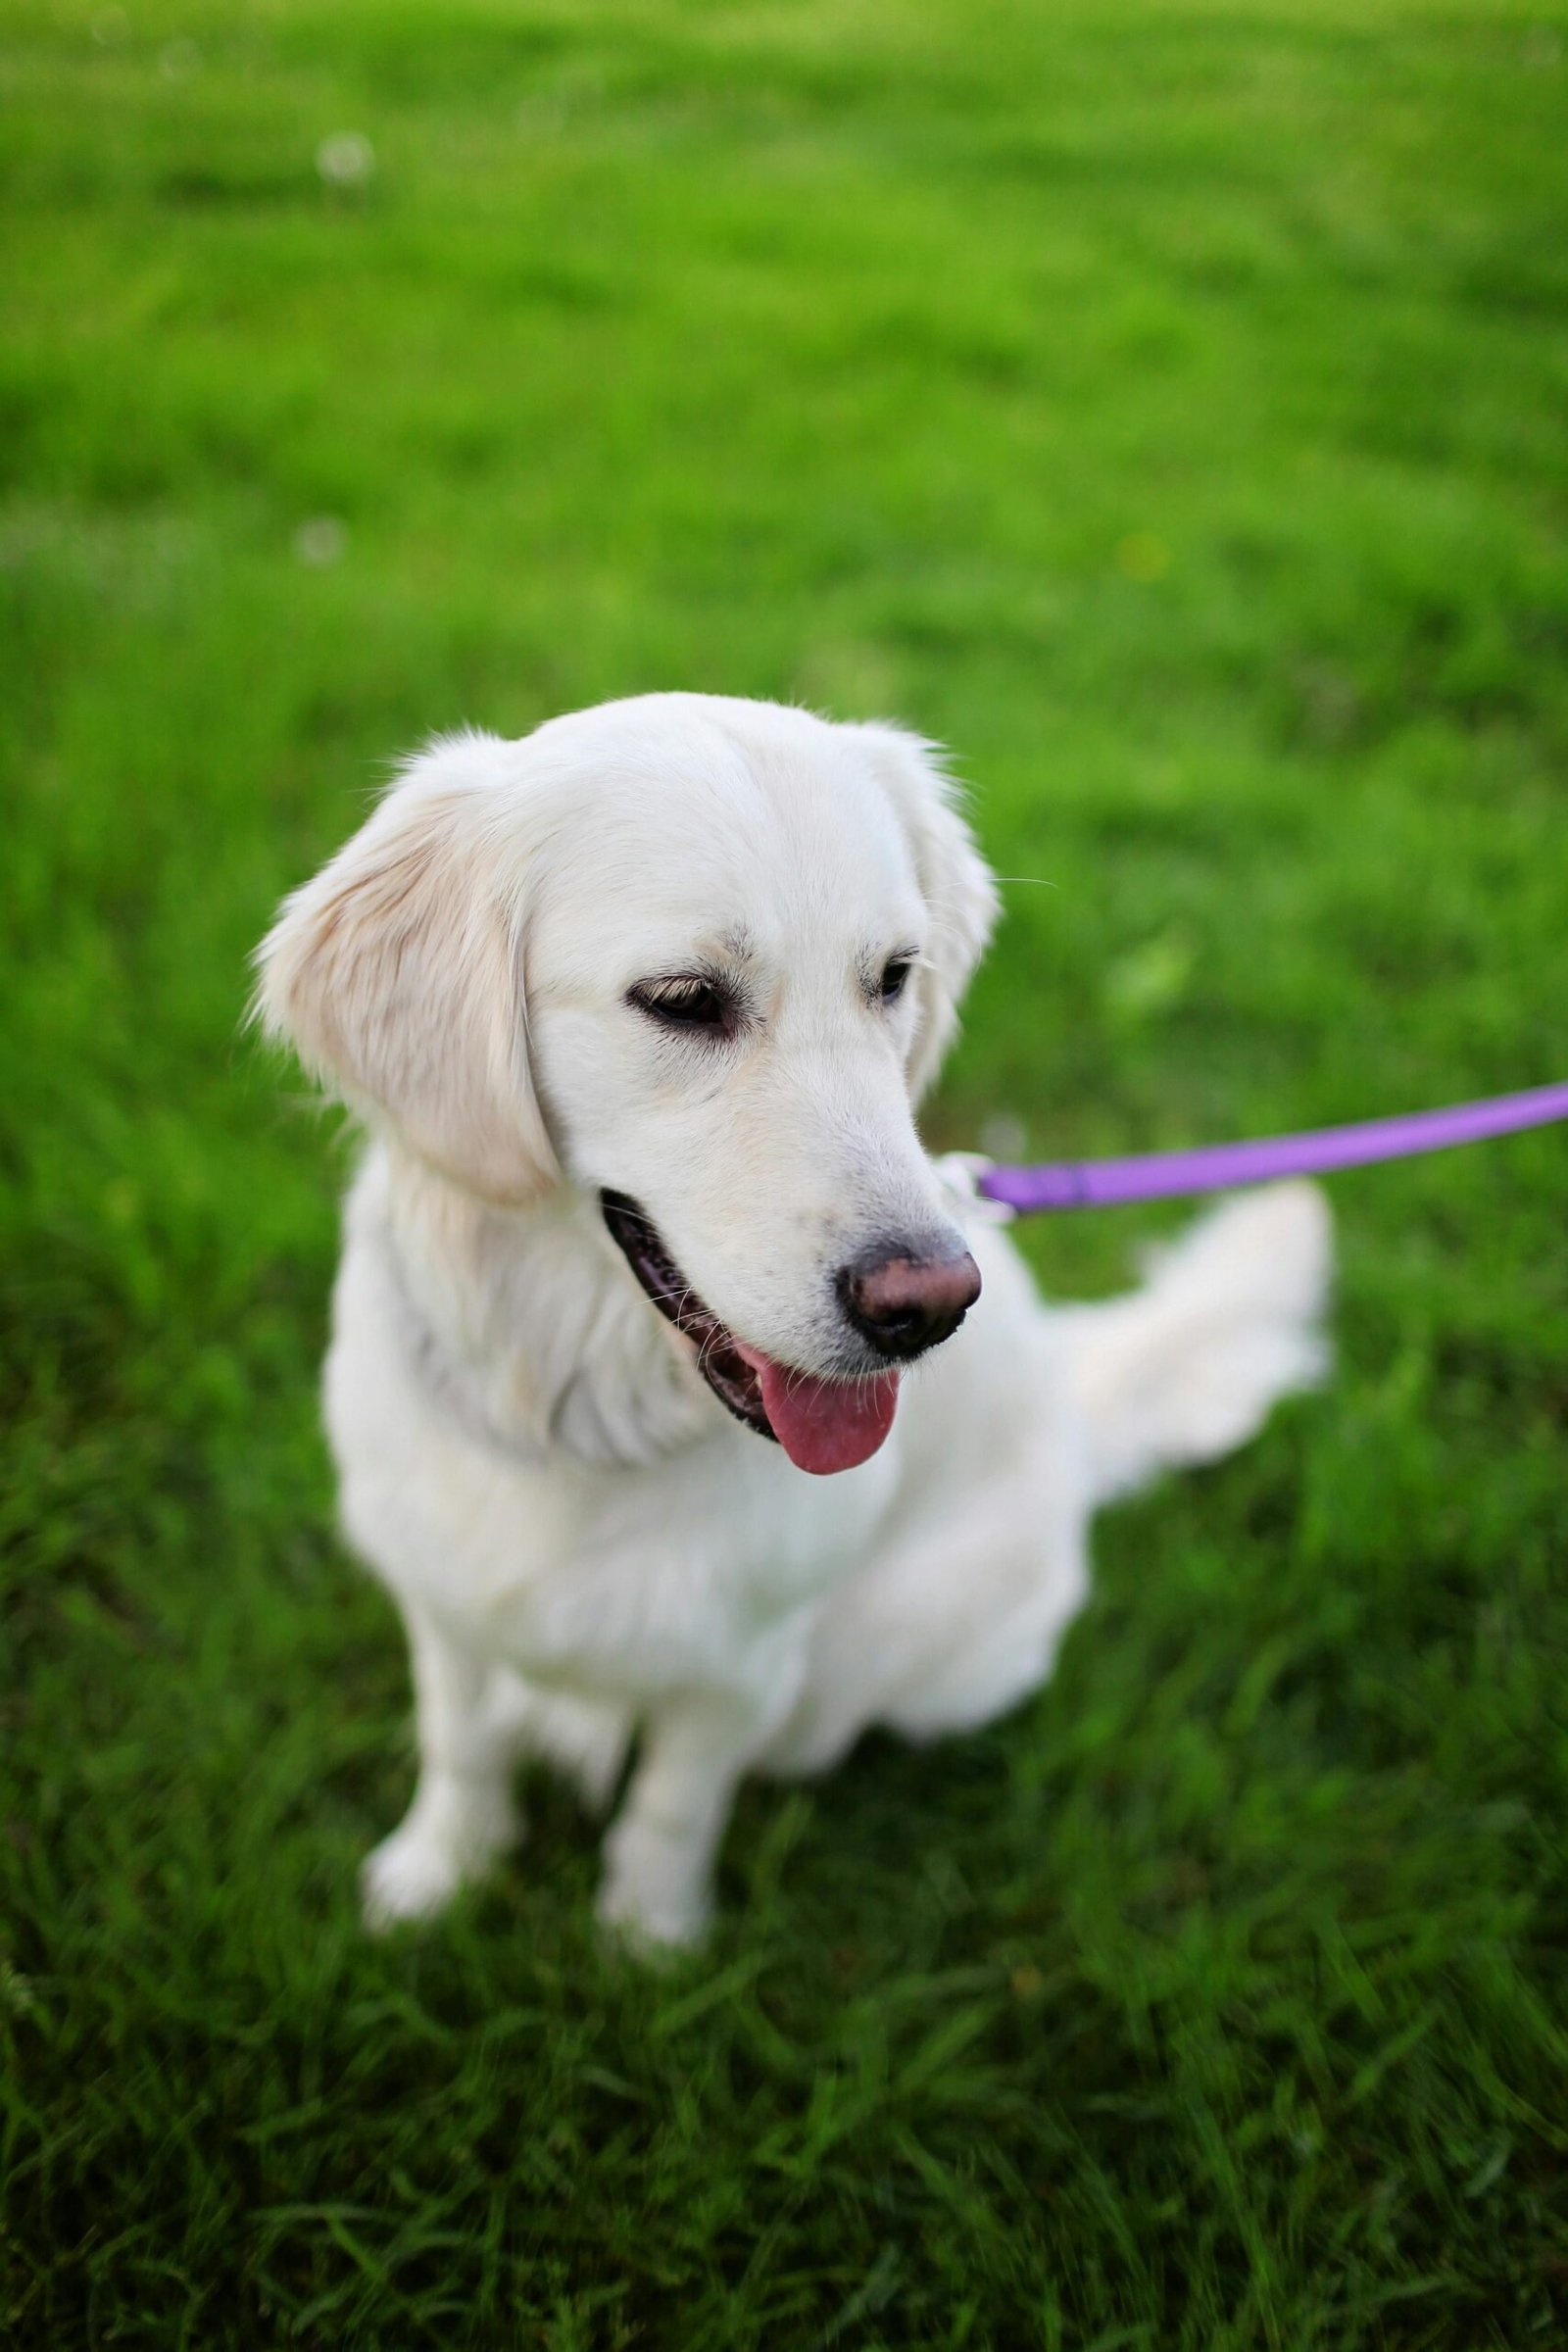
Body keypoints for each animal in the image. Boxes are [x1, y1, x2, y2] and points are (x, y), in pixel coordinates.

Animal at [261, 691, 1335, 1947]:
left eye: (894, 976)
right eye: (683, 1000)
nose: (928, 1307)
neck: (579, 1408)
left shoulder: (745, 1664)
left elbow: (671, 1807)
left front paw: (647, 1944)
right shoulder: (440, 1607)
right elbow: (461, 1749)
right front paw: (437, 1879)